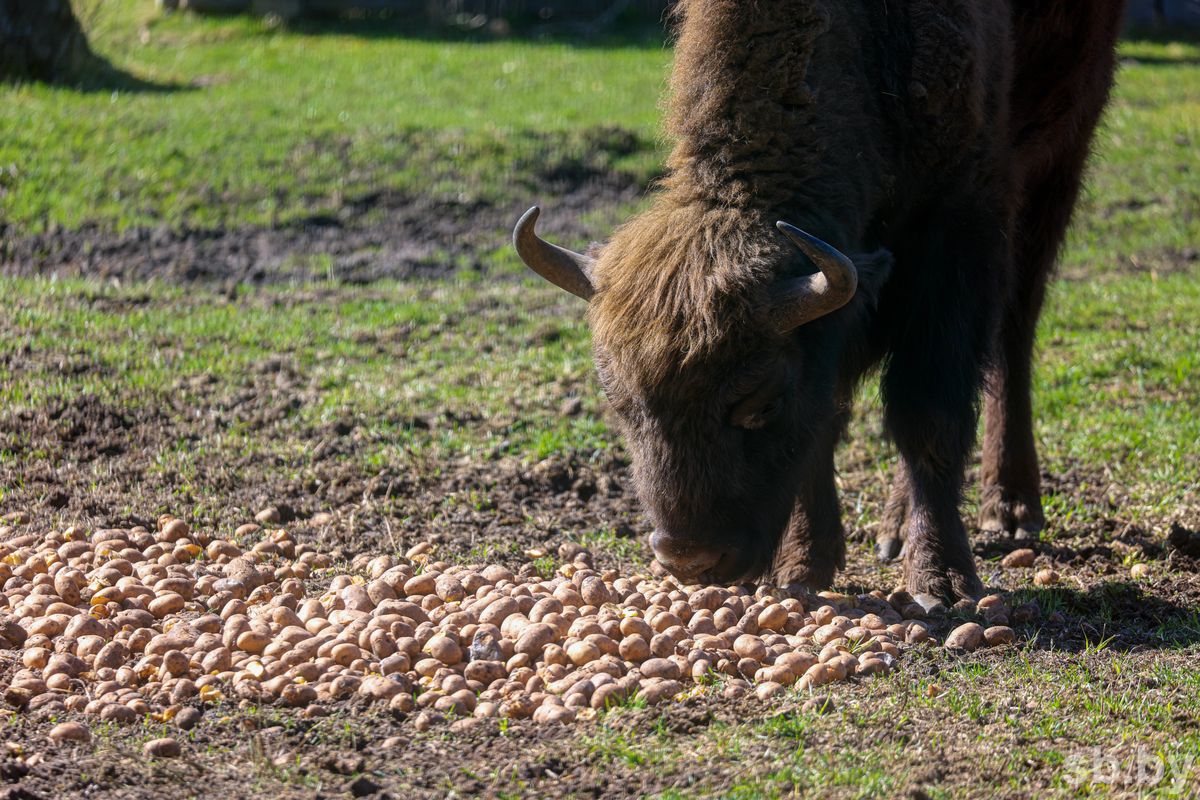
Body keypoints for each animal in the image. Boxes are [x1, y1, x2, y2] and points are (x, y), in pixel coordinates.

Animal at [513, 0, 1123, 609]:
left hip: (1057, 165)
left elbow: (928, 412)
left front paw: (942, 581)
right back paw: (894, 531)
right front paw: (803, 567)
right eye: (622, 406)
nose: (689, 557)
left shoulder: (961, 224)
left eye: (762, 403)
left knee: (1014, 334)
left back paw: (1011, 510)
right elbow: (825, 420)